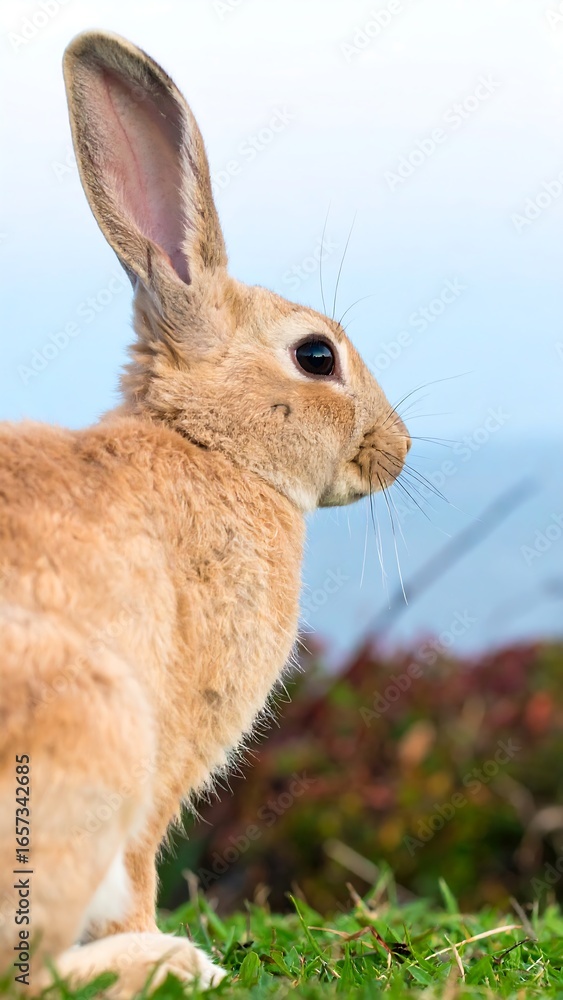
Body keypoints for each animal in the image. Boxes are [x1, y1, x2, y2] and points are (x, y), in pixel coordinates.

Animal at [0, 29, 410, 997]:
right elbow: (142, 869)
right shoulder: (165, 754)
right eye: (316, 356)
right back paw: (168, 962)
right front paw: (163, 942)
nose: (398, 449)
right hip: (92, 727)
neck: (208, 447)